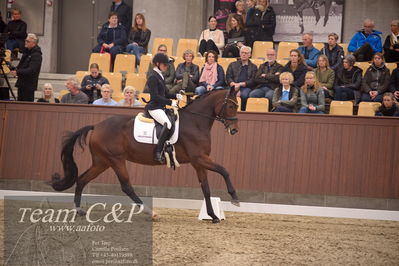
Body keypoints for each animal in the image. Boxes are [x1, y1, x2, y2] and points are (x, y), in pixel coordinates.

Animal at [51, 88, 242, 223]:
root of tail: (96, 126)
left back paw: (78, 210)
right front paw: (235, 198)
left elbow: (206, 189)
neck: (195, 123)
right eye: (231, 106)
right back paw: (152, 213)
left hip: (102, 162)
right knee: (126, 187)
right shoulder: (200, 158)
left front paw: (213, 216)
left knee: (82, 180)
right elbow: (224, 170)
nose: (234, 130)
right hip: (116, 160)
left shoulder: (199, 162)